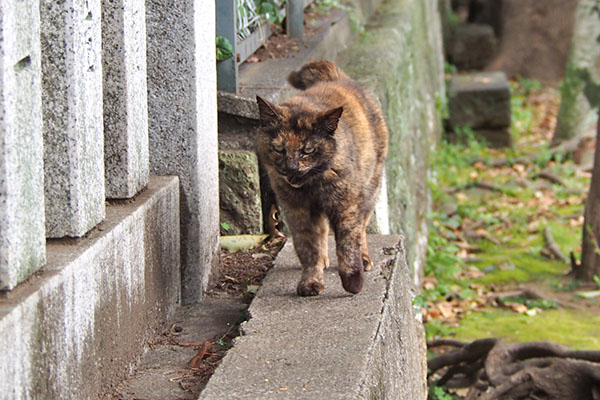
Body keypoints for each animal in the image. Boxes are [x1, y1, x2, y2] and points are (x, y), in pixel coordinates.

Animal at [254, 60, 386, 296]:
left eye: (308, 150)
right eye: (279, 149)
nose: (291, 167)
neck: (311, 187)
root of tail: (337, 77)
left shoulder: (345, 207)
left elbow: (347, 244)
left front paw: (353, 281)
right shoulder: (297, 211)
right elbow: (308, 248)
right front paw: (310, 282)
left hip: (371, 190)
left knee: (361, 229)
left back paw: (363, 259)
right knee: (323, 232)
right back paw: (324, 260)